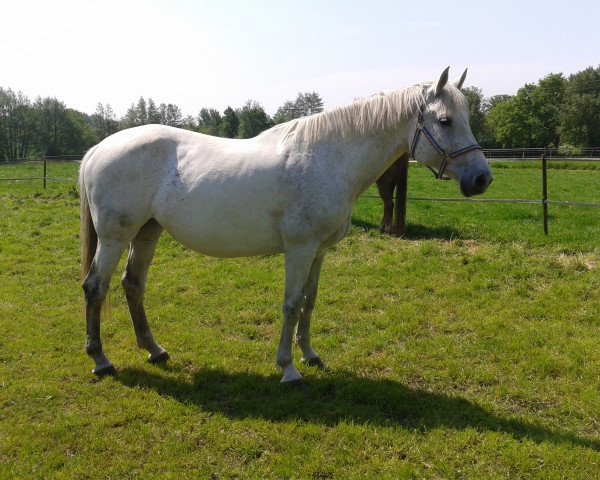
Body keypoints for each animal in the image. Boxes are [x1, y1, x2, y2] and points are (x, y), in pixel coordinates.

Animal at [79, 67, 492, 384]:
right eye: (445, 121)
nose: (481, 178)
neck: (326, 159)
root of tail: (98, 149)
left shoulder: (319, 252)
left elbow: (309, 302)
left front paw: (310, 354)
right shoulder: (300, 249)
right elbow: (291, 304)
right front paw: (289, 369)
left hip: (147, 231)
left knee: (132, 284)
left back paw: (154, 350)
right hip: (115, 238)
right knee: (95, 287)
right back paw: (101, 361)